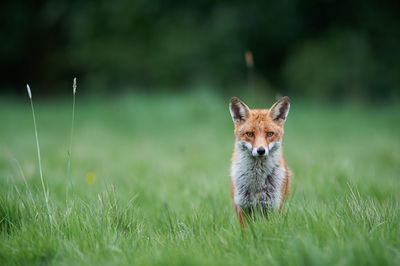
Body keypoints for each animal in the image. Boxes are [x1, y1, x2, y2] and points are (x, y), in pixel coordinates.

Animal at [230, 95, 292, 227]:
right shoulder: (242, 206)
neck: (257, 181)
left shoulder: (272, 206)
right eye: (249, 134)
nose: (261, 150)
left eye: (269, 134)